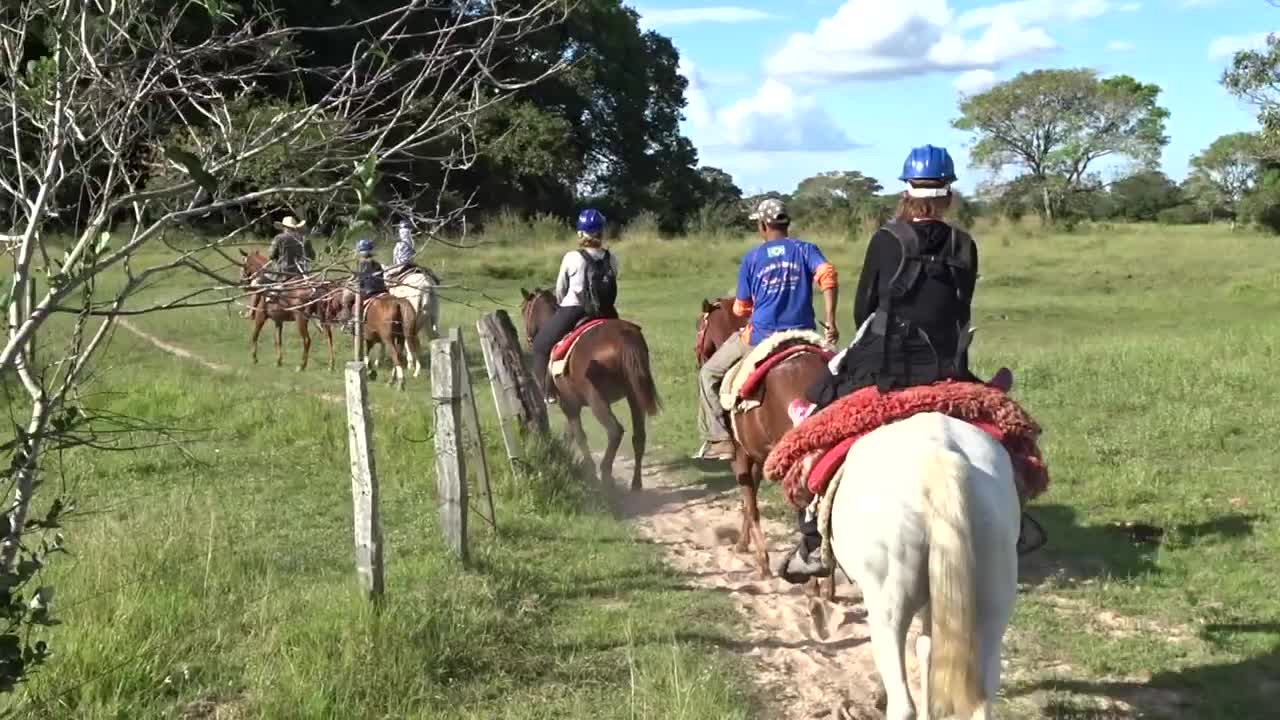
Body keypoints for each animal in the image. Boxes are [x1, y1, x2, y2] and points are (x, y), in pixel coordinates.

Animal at [519, 285, 660, 486]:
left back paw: (606, 476)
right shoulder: (572, 405)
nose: (529, 338)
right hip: (634, 395)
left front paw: (590, 472)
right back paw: (635, 484)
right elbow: (571, 433)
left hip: (597, 400)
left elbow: (579, 435)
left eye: (525, 311)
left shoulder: (568, 405)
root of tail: (623, 336)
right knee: (639, 436)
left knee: (615, 431)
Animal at [696, 294, 834, 579]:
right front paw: (743, 543)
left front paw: (762, 561)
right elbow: (750, 500)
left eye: (700, 327)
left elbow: (750, 501)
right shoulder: (758, 457)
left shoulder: (740, 456)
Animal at [829, 409, 1018, 717]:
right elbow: (928, 649)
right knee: (983, 697)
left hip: (888, 607)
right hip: (992, 604)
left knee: (902, 705)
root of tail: (937, 452)